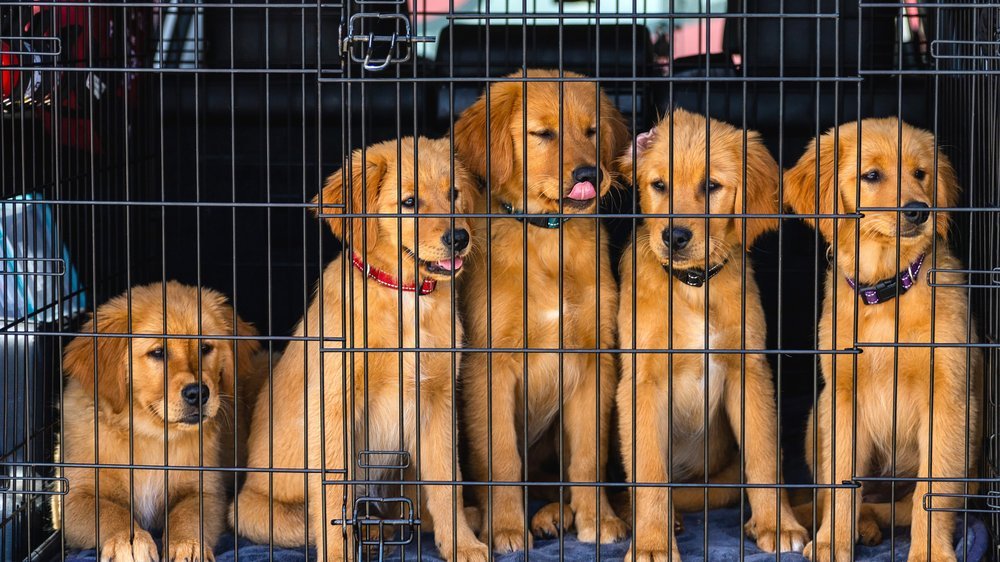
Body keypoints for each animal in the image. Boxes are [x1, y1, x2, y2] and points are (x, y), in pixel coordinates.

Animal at [54, 282, 262, 560]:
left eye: (205, 348)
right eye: (158, 352)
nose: (199, 393)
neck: (149, 435)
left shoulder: (205, 490)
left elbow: (188, 514)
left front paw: (188, 544)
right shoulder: (73, 497)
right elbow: (110, 512)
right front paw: (127, 540)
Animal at [231, 136, 488, 560]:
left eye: (453, 194)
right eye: (409, 202)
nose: (460, 238)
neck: (402, 297)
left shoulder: (438, 400)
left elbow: (447, 480)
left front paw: (462, 544)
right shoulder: (334, 404)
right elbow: (332, 498)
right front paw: (338, 555)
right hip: (254, 511)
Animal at [452, 68, 624, 548]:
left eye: (592, 131)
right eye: (543, 134)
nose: (590, 174)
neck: (548, 240)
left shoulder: (594, 362)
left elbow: (588, 456)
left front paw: (599, 519)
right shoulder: (489, 366)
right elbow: (502, 459)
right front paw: (507, 527)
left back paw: (555, 514)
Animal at [612, 109, 808, 560]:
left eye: (712, 186)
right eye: (659, 185)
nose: (674, 236)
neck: (694, 286)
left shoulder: (749, 372)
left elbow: (763, 457)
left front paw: (777, 524)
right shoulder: (641, 381)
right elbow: (648, 470)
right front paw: (651, 543)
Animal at [784, 116, 980, 556]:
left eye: (921, 174)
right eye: (871, 176)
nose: (919, 213)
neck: (886, 290)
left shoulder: (948, 399)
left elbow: (932, 491)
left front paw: (930, 552)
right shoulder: (842, 397)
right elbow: (840, 484)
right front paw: (832, 542)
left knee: (898, 507)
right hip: (817, 416)